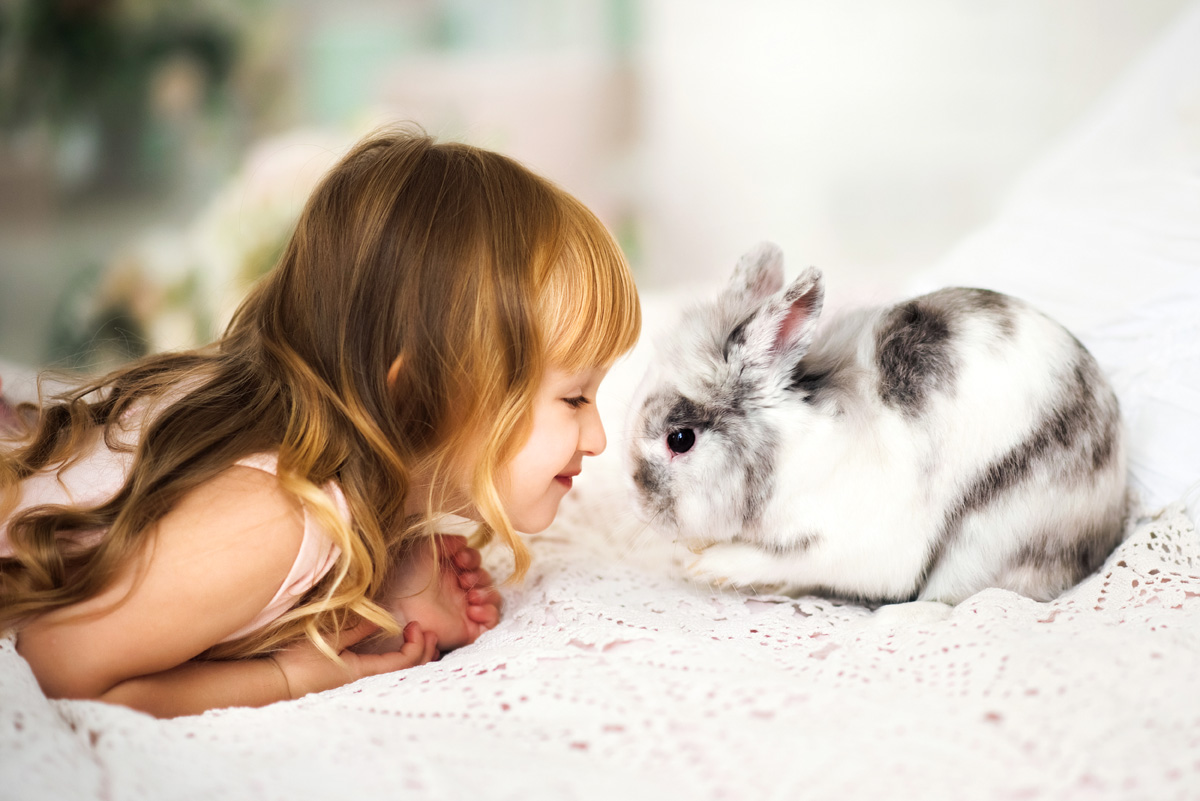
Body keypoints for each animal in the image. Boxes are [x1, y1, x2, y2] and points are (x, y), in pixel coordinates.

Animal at [626, 242, 1127, 604]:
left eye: (680, 439)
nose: (639, 505)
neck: (790, 452)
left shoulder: (852, 545)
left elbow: (783, 561)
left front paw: (708, 567)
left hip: (989, 540)